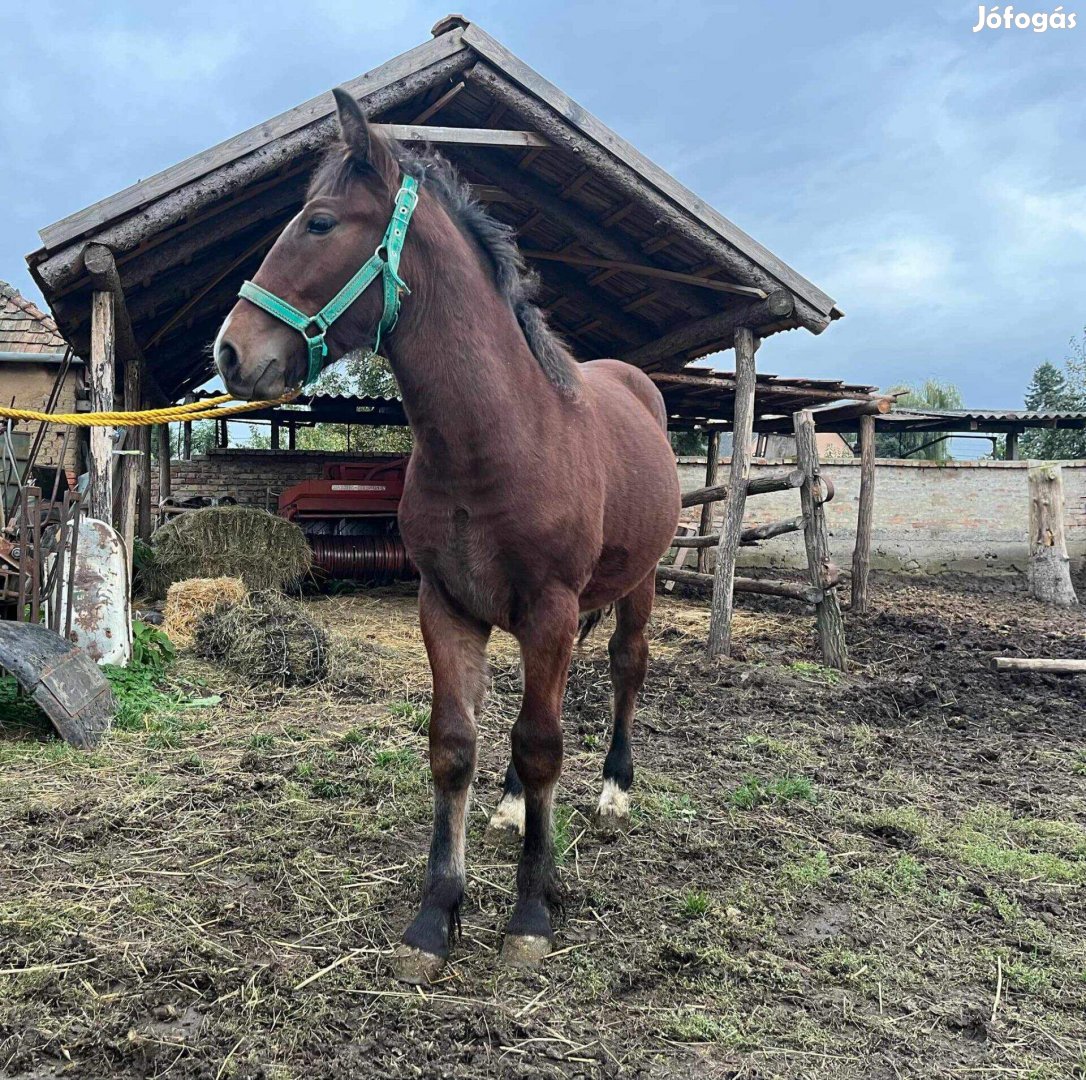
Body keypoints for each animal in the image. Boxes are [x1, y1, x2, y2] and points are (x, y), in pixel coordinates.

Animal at [213, 90, 677, 986]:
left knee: (623, 672)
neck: (495, 439)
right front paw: (436, 916)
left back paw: (613, 793)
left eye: (320, 223)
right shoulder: (447, 605)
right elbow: (456, 744)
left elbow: (543, 745)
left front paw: (530, 915)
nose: (230, 351)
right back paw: (510, 809)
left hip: (633, 588)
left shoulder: (551, 608)